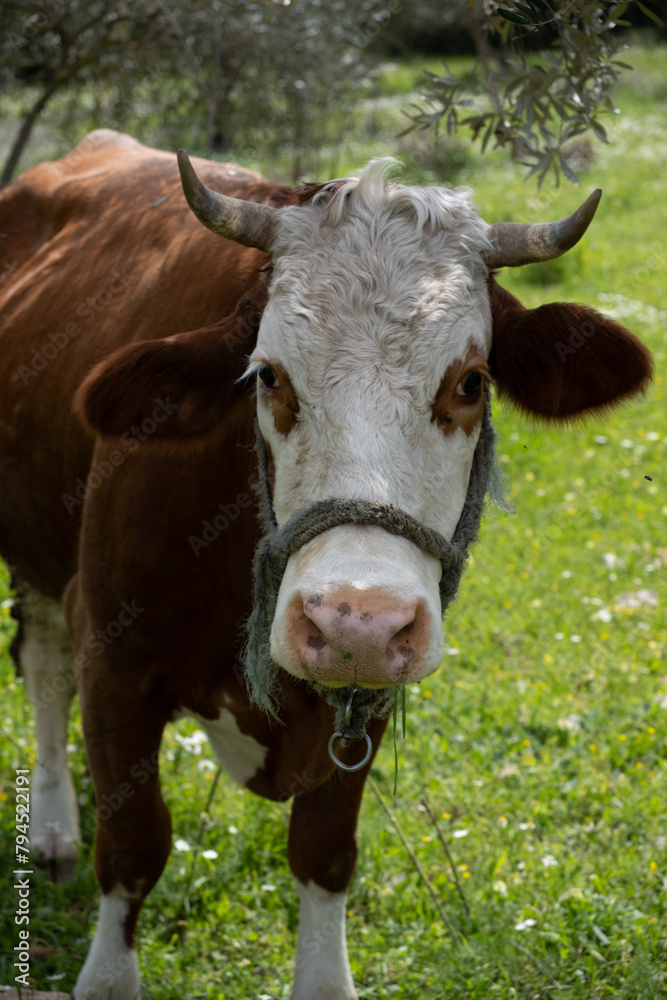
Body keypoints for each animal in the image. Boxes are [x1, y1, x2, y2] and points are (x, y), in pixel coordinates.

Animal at [0, 127, 652, 1000]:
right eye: (267, 375)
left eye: (470, 382)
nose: (355, 624)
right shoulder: (113, 649)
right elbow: (134, 844)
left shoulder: (368, 694)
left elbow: (324, 850)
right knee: (44, 669)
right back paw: (53, 832)